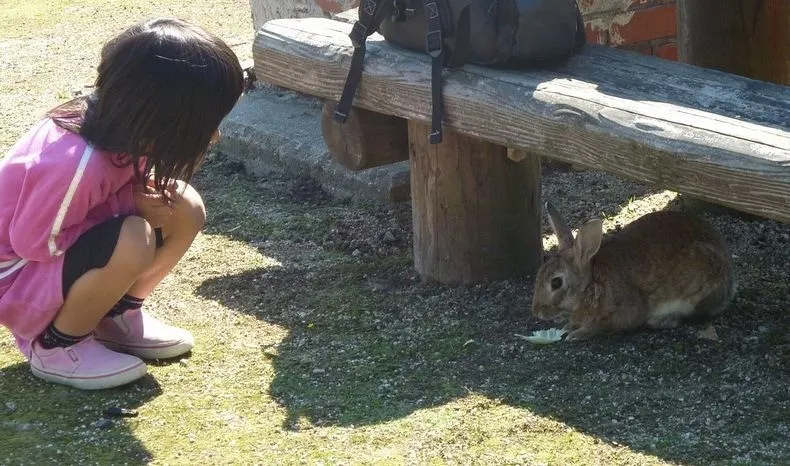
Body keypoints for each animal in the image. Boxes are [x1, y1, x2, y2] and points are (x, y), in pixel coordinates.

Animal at [531, 201, 736, 341]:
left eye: (556, 282)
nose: (536, 312)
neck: (590, 284)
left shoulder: (622, 312)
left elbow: (602, 326)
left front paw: (577, 334)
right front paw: (568, 326)